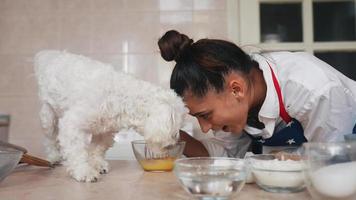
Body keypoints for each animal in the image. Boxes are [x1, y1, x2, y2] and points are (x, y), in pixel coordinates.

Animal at [34, 50, 188, 181]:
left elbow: (97, 149)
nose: (174, 143)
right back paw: (53, 157)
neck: (122, 96)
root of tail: (50, 55)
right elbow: (77, 152)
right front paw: (84, 171)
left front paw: (98, 165)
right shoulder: (72, 125)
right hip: (48, 117)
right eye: (174, 129)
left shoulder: (104, 132)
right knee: (50, 140)